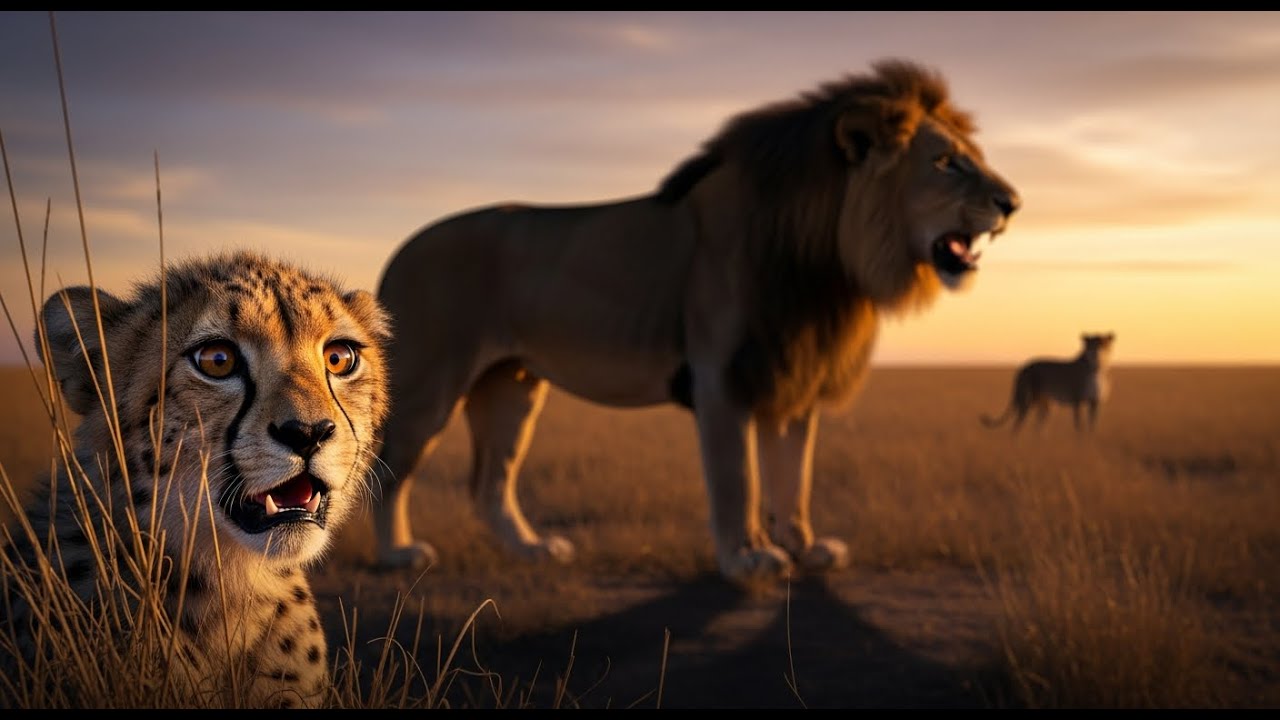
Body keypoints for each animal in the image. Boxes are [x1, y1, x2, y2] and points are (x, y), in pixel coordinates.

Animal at [370, 59, 1021, 585]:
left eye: (974, 159)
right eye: (946, 163)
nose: (1013, 203)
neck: (828, 268)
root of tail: (399, 252)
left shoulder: (793, 375)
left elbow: (794, 476)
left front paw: (804, 547)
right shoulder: (723, 375)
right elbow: (739, 478)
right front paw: (748, 557)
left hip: (512, 386)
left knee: (489, 483)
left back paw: (531, 550)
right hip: (428, 386)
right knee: (391, 467)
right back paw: (399, 554)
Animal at [982, 332, 1117, 434]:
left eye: (1104, 344)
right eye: (1091, 346)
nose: (1096, 353)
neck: (1097, 369)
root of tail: (1024, 366)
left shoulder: (1095, 402)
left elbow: (1092, 426)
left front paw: (1089, 440)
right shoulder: (1076, 401)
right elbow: (1079, 426)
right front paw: (1080, 444)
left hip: (1045, 404)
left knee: (1038, 426)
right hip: (1027, 400)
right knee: (1017, 425)